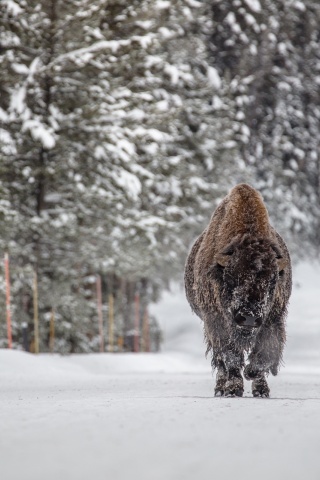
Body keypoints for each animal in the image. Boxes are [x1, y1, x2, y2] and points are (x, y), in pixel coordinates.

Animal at [185, 184, 292, 398]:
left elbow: (265, 353)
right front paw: (233, 389)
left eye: (272, 282)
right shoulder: (216, 321)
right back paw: (221, 388)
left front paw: (254, 376)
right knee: (220, 362)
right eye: (231, 279)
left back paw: (259, 389)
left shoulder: (273, 319)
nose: (249, 317)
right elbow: (230, 357)